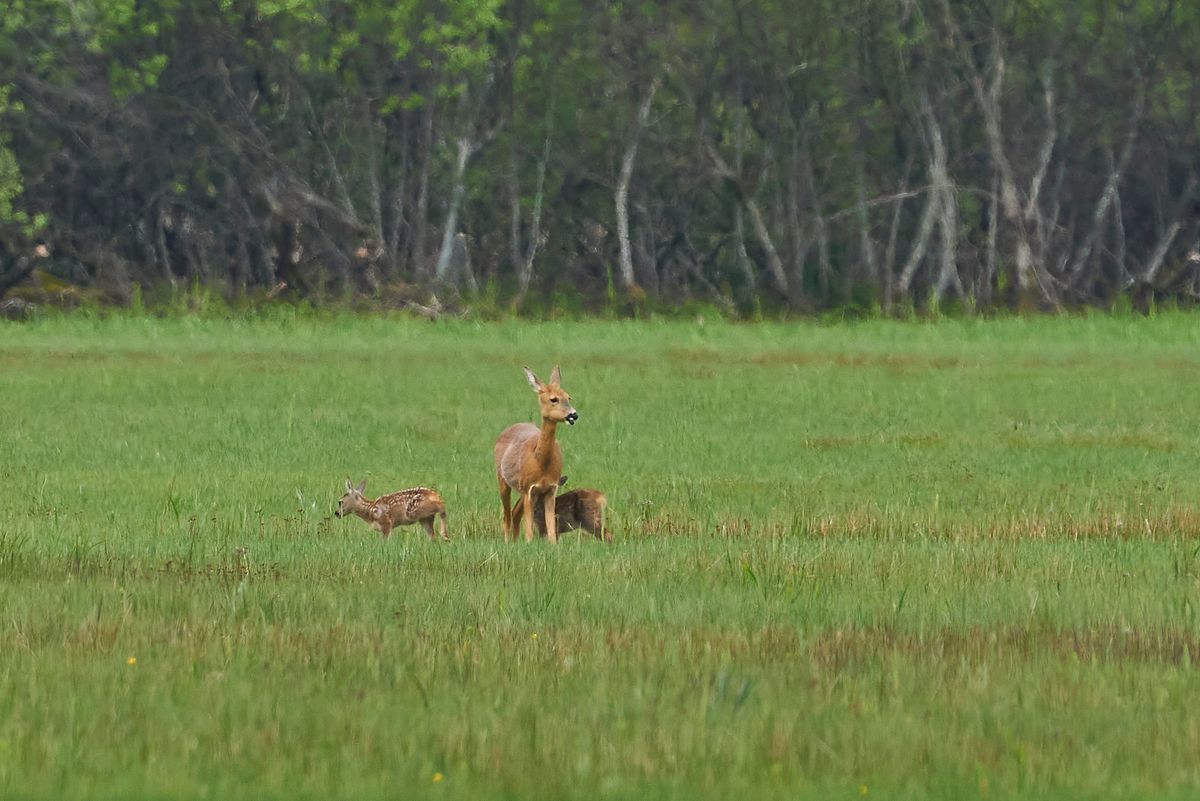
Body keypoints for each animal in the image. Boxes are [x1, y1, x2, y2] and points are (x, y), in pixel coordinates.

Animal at [492, 364, 576, 541]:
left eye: (568, 397)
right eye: (553, 399)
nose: (573, 415)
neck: (540, 463)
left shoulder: (550, 489)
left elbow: (551, 531)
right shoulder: (528, 488)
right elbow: (529, 531)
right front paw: (528, 543)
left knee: (515, 514)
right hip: (503, 479)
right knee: (506, 516)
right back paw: (507, 541)